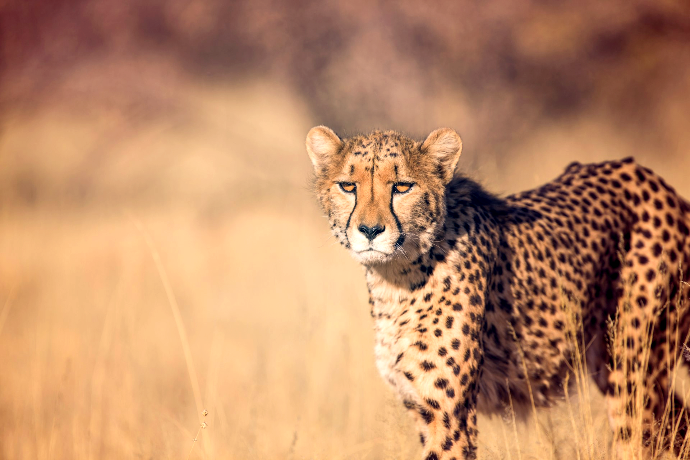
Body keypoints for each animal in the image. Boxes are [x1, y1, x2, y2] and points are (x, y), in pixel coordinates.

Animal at [304, 126, 688, 460]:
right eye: (348, 186)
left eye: (402, 187)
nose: (370, 230)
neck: (395, 278)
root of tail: (649, 177)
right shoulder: (421, 406)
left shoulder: (448, 413)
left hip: (633, 371)